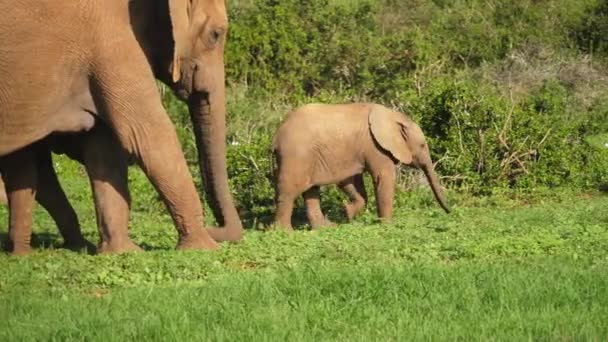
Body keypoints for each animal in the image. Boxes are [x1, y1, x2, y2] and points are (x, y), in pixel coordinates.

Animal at [0, 0, 242, 251]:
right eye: (216, 34)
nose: (215, 228)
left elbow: (103, 148)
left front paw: (121, 252)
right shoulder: (113, 44)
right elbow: (150, 135)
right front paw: (204, 248)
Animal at [274, 101, 448, 230]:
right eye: (422, 145)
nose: (449, 211)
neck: (393, 117)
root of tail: (276, 135)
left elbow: (351, 181)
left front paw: (347, 213)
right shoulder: (375, 146)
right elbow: (383, 177)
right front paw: (387, 225)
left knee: (311, 191)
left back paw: (326, 227)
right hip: (296, 155)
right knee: (289, 191)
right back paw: (284, 232)